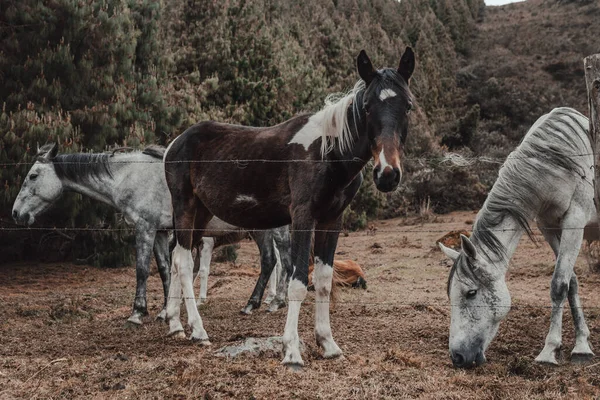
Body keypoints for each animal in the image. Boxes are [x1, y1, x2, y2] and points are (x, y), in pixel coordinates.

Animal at [9, 144, 290, 324]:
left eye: (33, 175)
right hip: (261, 231)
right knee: (269, 262)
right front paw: (166, 311)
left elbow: (143, 269)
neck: (130, 175)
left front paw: (137, 313)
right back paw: (253, 304)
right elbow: (165, 269)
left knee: (285, 262)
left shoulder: (145, 228)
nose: (16, 213)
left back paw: (276, 302)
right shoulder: (160, 233)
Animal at [164, 47, 418, 366]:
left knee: (176, 258)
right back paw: (198, 331)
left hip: (201, 215)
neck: (327, 152)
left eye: (407, 105)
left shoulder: (331, 221)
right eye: (368, 106)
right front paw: (292, 350)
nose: (387, 174)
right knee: (184, 264)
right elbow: (297, 281)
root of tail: (173, 144)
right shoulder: (302, 218)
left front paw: (328, 343)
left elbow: (323, 280)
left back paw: (175, 325)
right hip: (185, 208)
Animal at [438, 107, 596, 368]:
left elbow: (558, 285)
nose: (457, 357)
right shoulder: (549, 227)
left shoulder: (575, 222)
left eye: (471, 293)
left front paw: (551, 350)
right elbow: (571, 282)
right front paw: (582, 342)